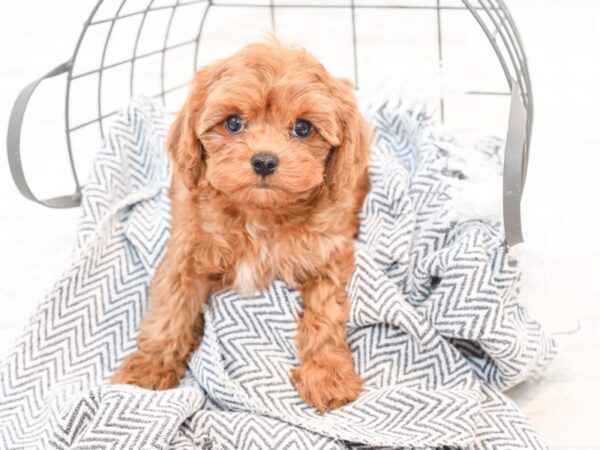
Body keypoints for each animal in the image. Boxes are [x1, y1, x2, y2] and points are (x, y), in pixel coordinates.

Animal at [109, 38, 368, 412]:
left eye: (303, 128)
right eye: (233, 123)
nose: (264, 161)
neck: (259, 215)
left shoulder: (328, 253)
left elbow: (326, 313)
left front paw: (328, 373)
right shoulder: (186, 252)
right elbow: (170, 312)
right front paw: (146, 369)